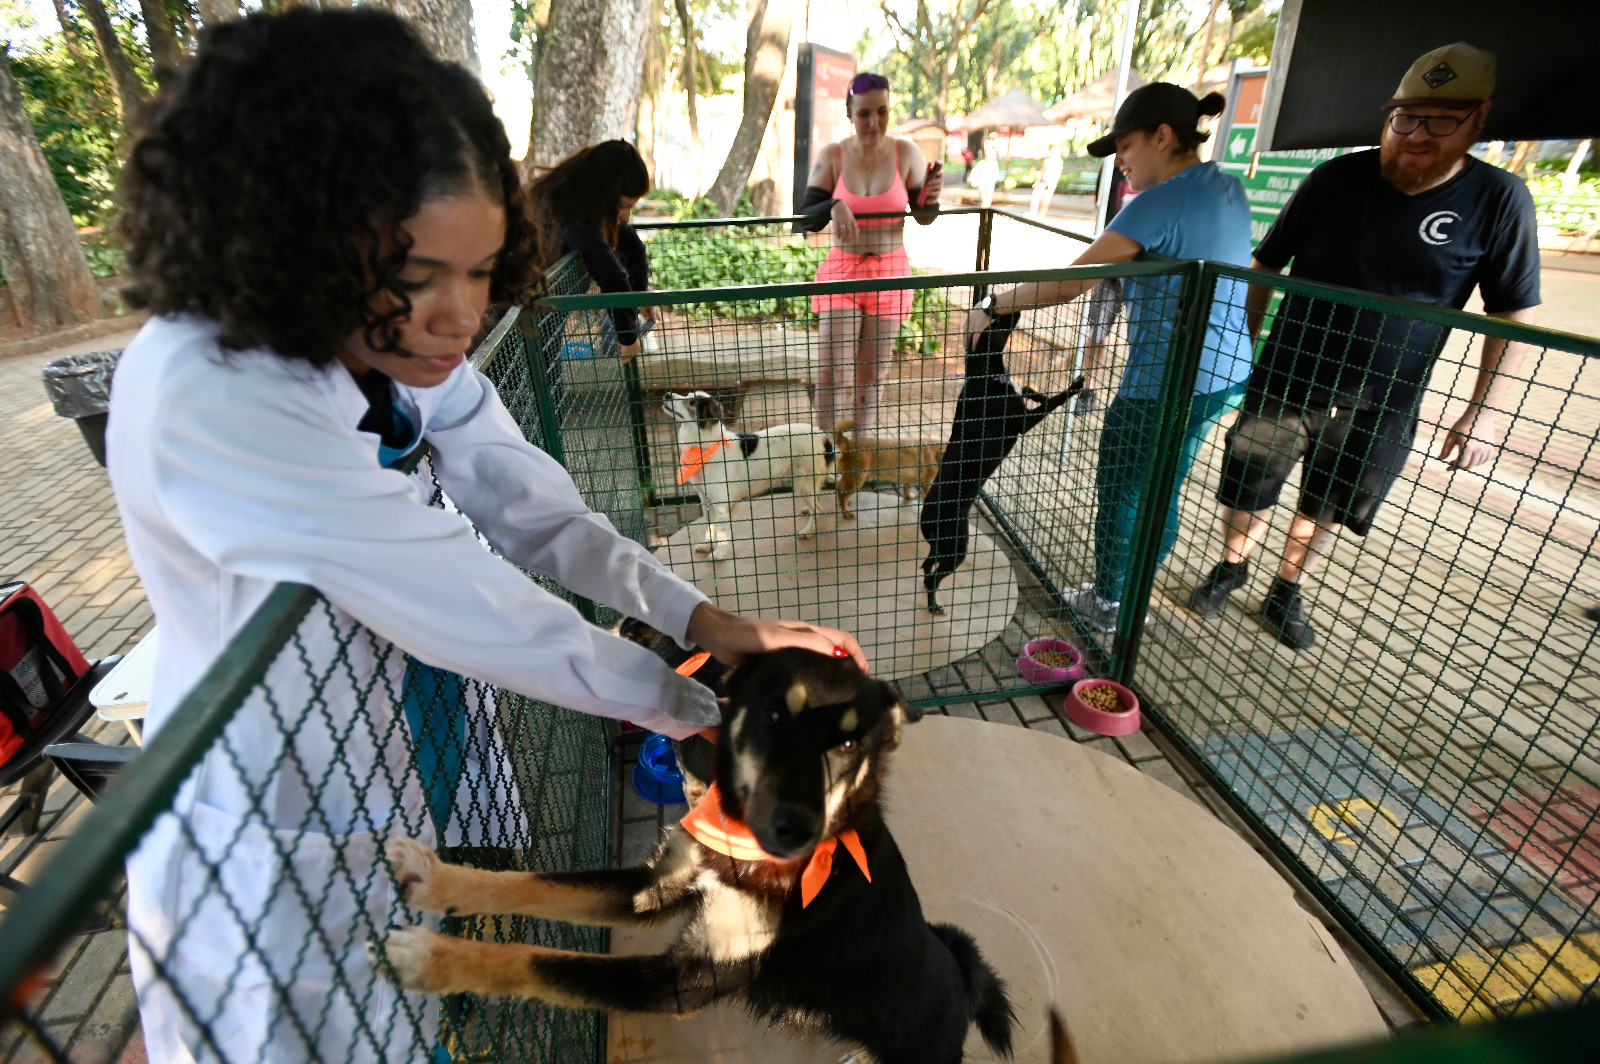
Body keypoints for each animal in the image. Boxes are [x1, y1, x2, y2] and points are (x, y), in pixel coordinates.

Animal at [374, 646, 1011, 1062]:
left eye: (850, 743)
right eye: (771, 715)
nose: (790, 825)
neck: (745, 858)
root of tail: (962, 980)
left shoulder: (681, 979)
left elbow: (540, 962)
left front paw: (432, 958)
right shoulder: (654, 886)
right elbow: (538, 886)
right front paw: (437, 881)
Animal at [662, 385, 838, 560]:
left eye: (692, 402)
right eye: (687, 395)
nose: (666, 394)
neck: (706, 446)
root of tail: (822, 436)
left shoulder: (722, 503)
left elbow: (722, 531)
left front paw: (719, 553)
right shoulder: (705, 499)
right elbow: (711, 526)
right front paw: (707, 545)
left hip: (802, 483)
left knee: (818, 508)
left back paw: (809, 530)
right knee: (816, 499)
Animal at [921, 307, 1094, 614]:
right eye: (996, 323)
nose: (1016, 309)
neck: (984, 378)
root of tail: (927, 519)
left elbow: (1033, 393)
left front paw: (1033, 390)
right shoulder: (1021, 421)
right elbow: (1053, 402)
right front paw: (1074, 387)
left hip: (940, 549)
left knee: (926, 567)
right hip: (956, 548)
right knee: (933, 577)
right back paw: (934, 606)